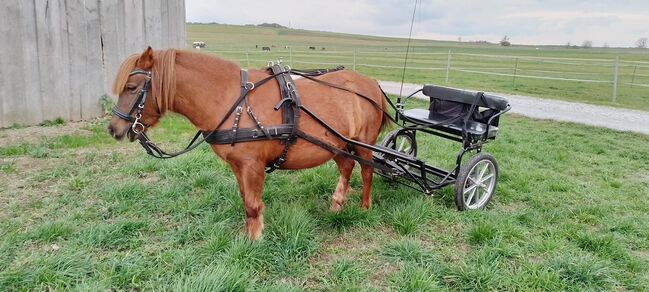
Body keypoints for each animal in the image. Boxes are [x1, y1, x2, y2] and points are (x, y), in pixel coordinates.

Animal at [108, 47, 388, 240]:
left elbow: (253, 204)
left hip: (363, 143)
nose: (113, 129)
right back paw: (337, 205)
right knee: (346, 167)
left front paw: (254, 239)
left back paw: (365, 207)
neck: (233, 100)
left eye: (131, 87)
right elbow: (245, 199)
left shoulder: (252, 164)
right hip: (337, 143)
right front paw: (247, 233)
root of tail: (371, 83)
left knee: (366, 170)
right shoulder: (237, 165)